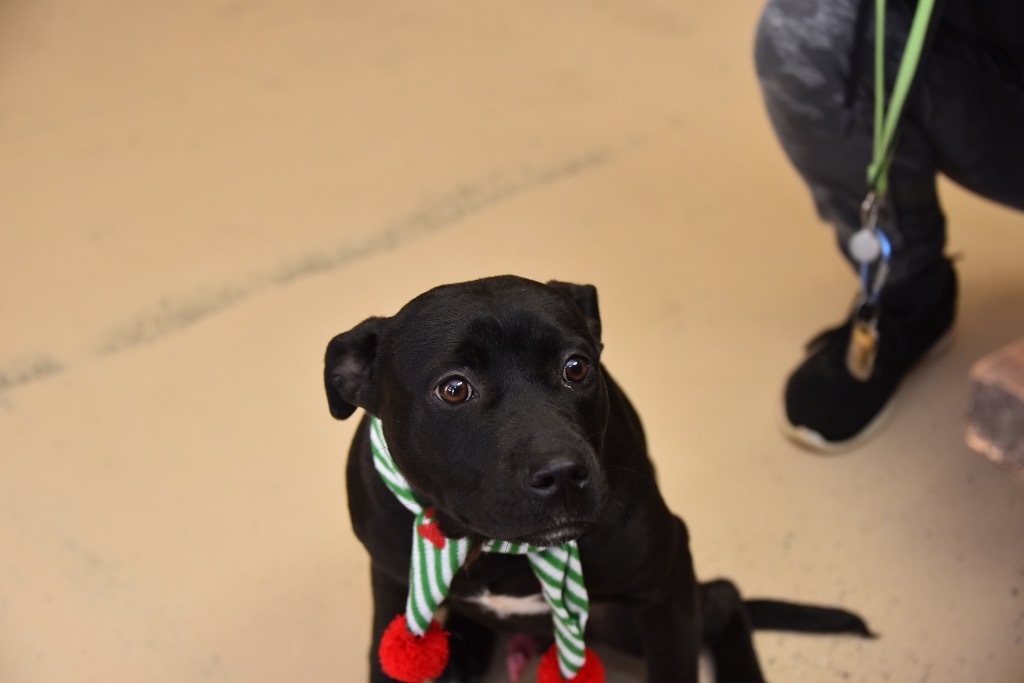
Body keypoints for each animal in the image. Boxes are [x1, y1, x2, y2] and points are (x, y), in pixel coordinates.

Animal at [323, 274, 868, 679]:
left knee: (724, 597)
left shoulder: (665, 586)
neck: (491, 547)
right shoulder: (391, 581)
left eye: (576, 367)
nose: (563, 474)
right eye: (454, 389)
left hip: (627, 615)